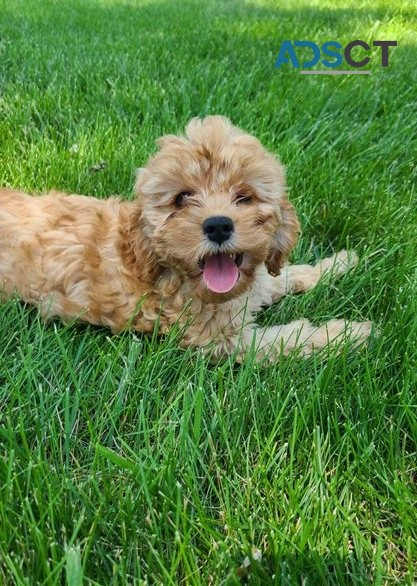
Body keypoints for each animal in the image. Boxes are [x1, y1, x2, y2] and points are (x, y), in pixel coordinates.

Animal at [0, 116, 370, 358]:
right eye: (181, 198)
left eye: (244, 197)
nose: (218, 226)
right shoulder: (218, 339)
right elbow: (285, 340)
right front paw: (346, 333)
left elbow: (282, 277)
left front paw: (338, 264)